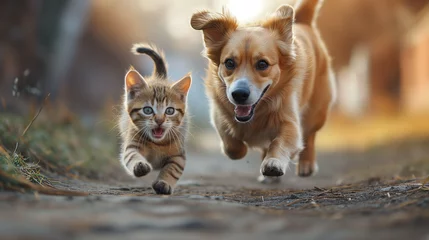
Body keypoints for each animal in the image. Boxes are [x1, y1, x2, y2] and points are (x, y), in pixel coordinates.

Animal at [118, 44, 190, 195]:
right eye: (147, 110)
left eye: (170, 111)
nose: (159, 120)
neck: (157, 144)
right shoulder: (132, 144)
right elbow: (131, 156)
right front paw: (139, 165)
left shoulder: (179, 156)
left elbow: (173, 169)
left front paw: (164, 183)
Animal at [190, 0, 334, 182]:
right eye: (229, 63)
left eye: (262, 64)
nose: (239, 94)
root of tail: (303, 22)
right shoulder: (219, 113)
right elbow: (231, 144)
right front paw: (241, 148)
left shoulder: (290, 121)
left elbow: (282, 142)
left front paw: (274, 161)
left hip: (316, 112)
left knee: (310, 134)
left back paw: (306, 164)